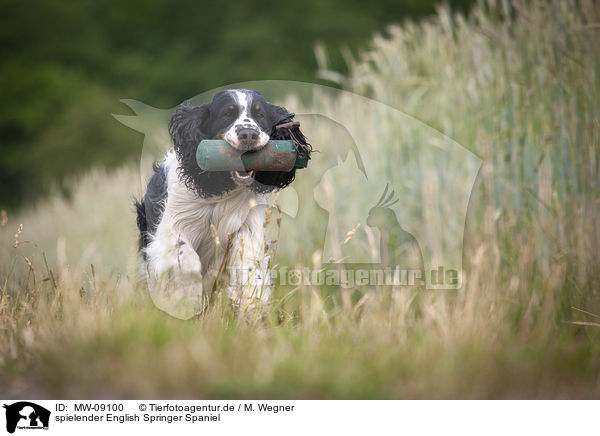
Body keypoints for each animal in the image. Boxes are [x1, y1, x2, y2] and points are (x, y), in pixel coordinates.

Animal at [136, 90, 310, 312]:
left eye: (260, 115)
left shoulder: (246, 226)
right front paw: (188, 294)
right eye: (227, 115)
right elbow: (187, 257)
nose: (248, 134)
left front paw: (253, 303)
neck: (221, 188)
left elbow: (249, 264)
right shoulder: (170, 228)